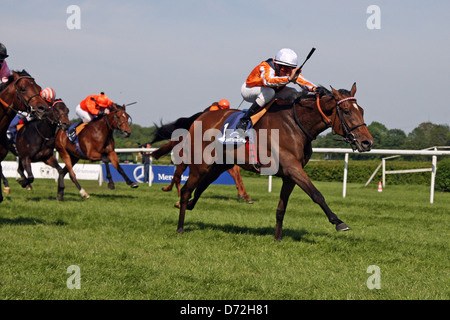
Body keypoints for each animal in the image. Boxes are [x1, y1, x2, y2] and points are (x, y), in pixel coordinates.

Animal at [172, 84, 372, 241]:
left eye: (361, 111)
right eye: (346, 111)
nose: (367, 142)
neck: (295, 125)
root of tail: (200, 117)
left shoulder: (290, 175)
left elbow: (281, 208)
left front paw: (278, 238)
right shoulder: (293, 168)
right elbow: (316, 194)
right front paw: (339, 222)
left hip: (218, 167)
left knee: (201, 187)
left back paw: (189, 206)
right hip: (201, 166)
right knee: (186, 190)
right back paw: (180, 227)